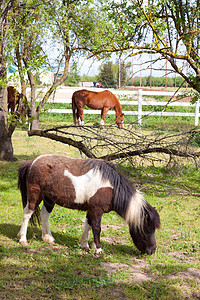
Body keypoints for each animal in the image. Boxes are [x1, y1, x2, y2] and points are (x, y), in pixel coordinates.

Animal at [17, 155, 161, 255]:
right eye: (148, 229)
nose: (152, 250)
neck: (112, 187)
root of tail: (32, 162)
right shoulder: (97, 210)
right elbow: (96, 228)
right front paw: (98, 249)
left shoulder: (91, 209)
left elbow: (88, 225)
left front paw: (84, 245)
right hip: (35, 195)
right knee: (27, 214)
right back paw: (23, 240)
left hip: (49, 199)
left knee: (44, 215)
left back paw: (48, 238)